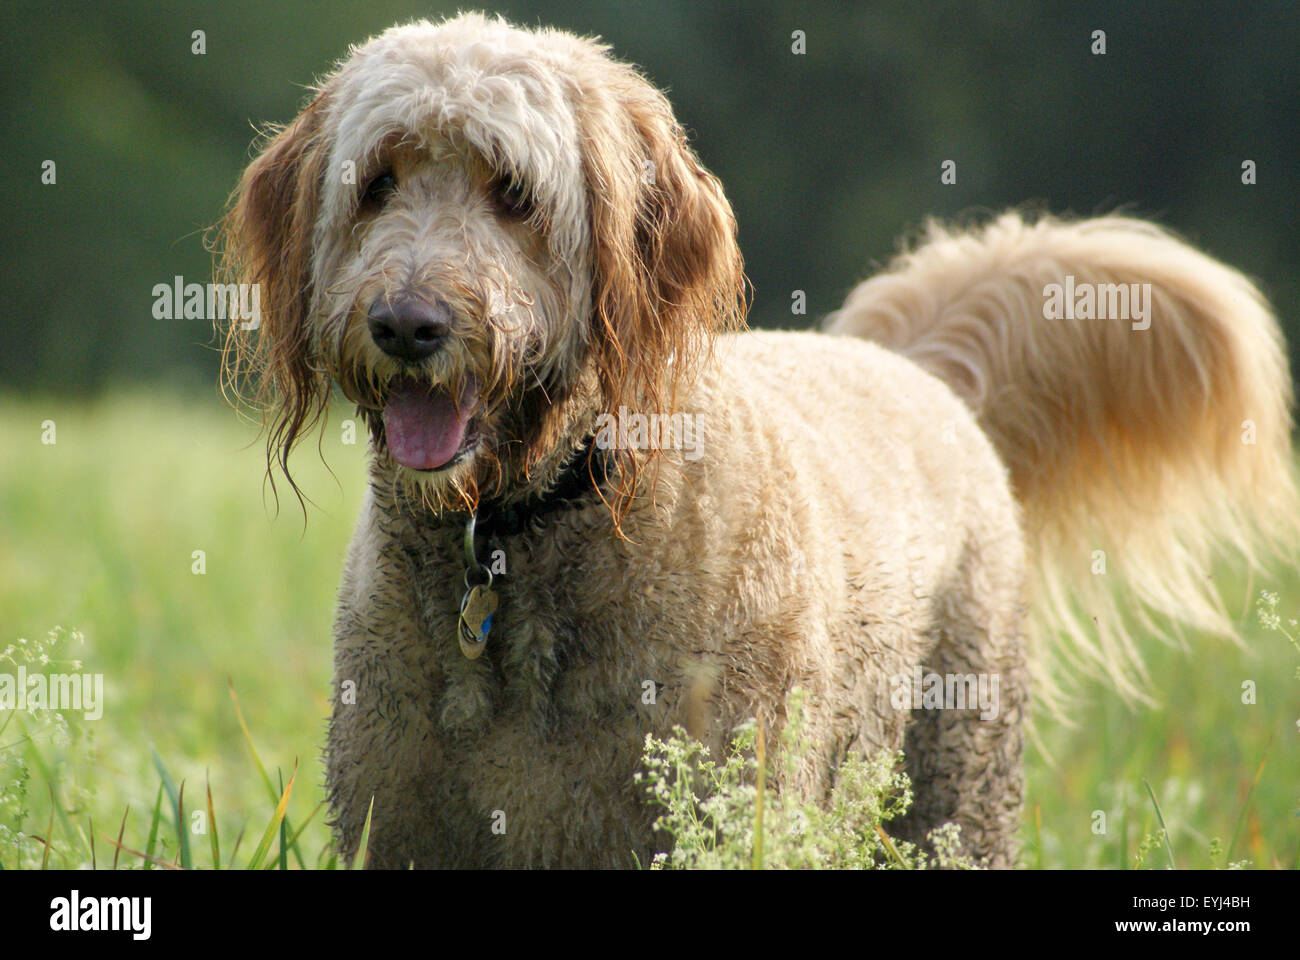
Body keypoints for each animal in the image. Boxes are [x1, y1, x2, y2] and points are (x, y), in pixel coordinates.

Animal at [218, 13, 1294, 868]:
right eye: (377, 182)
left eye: (513, 191)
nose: (407, 325)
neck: (524, 533)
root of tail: (914, 368)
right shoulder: (399, 827)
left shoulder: (729, 816)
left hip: (958, 788)